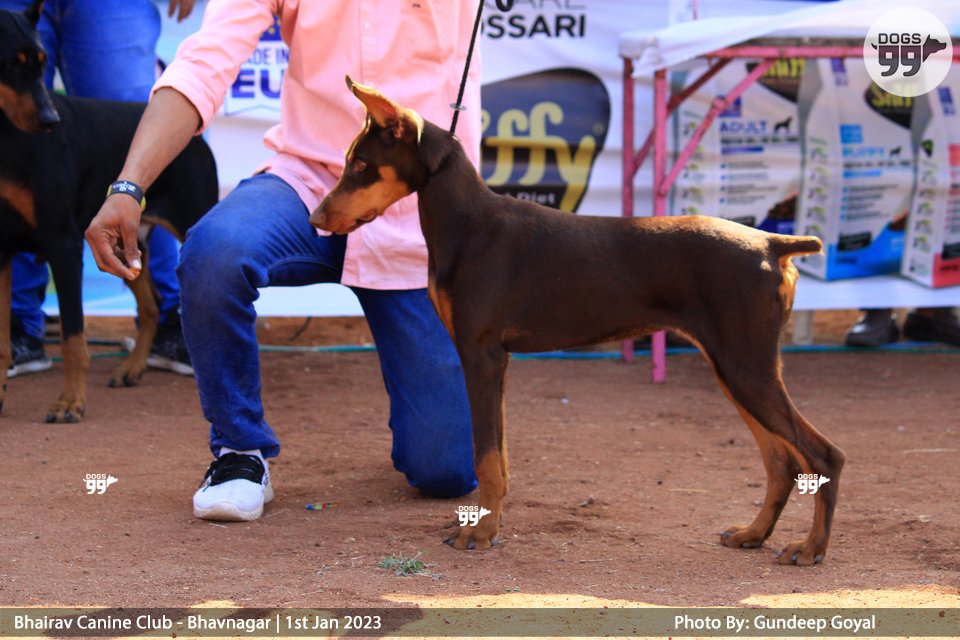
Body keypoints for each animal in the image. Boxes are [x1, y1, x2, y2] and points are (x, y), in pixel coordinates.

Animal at [0, 0, 218, 422]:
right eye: (13, 63)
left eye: (41, 62)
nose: (51, 121)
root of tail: (196, 136)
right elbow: (1, 342)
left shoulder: (63, 244)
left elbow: (73, 337)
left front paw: (69, 402)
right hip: (123, 243)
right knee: (150, 307)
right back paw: (131, 368)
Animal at [312, 77, 845, 566]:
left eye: (359, 164)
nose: (316, 218)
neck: (467, 224)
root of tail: (772, 243)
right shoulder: (497, 361)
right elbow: (499, 458)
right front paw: (491, 525)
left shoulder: (480, 355)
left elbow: (486, 458)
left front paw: (480, 534)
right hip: (734, 367)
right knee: (781, 460)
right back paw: (754, 534)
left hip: (746, 366)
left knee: (823, 455)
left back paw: (811, 548)